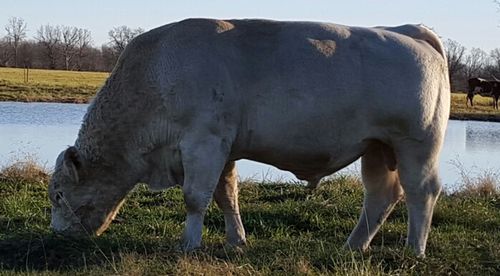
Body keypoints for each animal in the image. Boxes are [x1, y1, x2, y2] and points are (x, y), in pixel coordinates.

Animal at [48, 18, 452, 256]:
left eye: (57, 195)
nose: (58, 235)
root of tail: (409, 31)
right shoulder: (223, 149)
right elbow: (227, 196)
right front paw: (236, 240)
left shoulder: (204, 141)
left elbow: (195, 198)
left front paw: (188, 245)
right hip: (378, 148)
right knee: (381, 196)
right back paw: (351, 247)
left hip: (416, 145)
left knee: (421, 193)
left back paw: (413, 252)